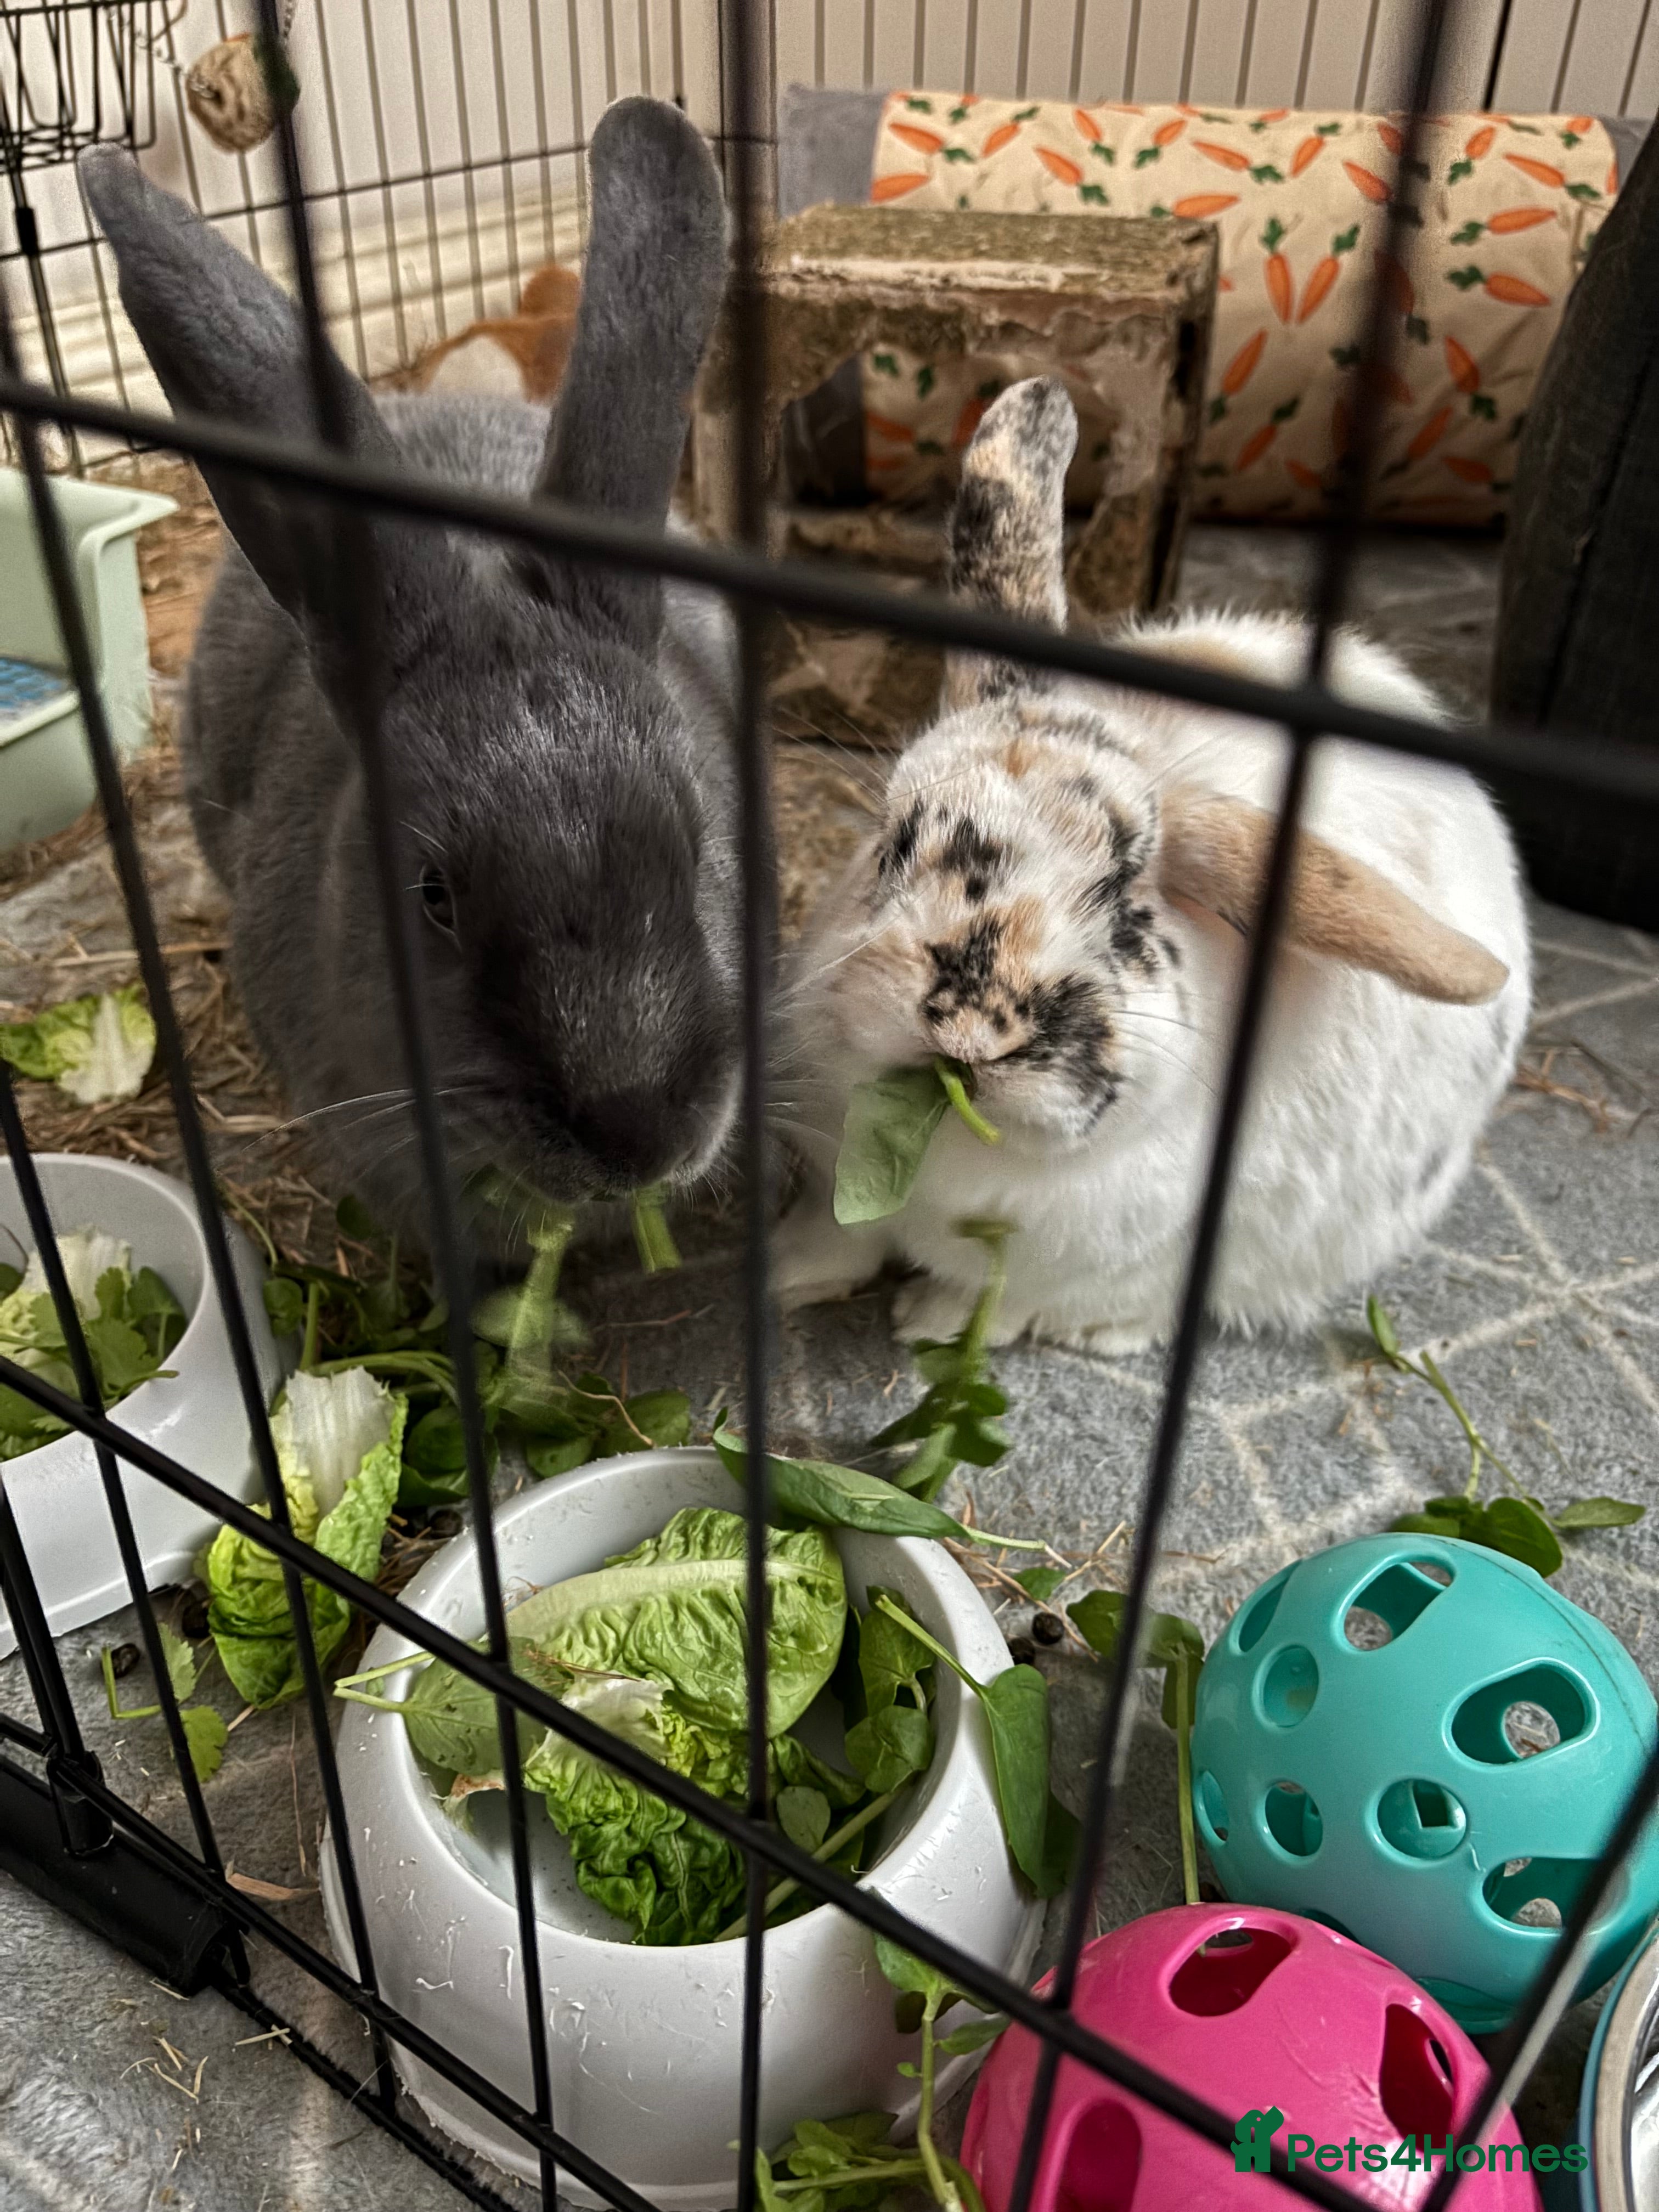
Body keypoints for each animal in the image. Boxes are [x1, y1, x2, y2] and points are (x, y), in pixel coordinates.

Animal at [775, 377, 1531, 1354]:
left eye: (1128, 911)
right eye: (892, 842)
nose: (969, 1028)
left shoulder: (1070, 1261)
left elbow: (999, 1299)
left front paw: (928, 1327)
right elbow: (839, 1237)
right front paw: (787, 1278)